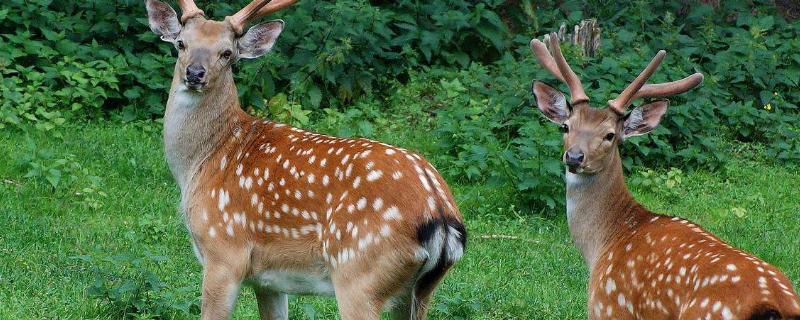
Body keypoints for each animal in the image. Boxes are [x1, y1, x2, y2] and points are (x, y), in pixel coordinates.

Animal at [145, 1, 468, 318]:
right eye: (181, 44)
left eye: (227, 53)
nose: (194, 73)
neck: (202, 161)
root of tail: (441, 214)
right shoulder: (267, 280)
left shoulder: (223, 251)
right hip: (417, 291)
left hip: (359, 275)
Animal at [532, 33, 800, 320]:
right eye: (565, 126)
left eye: (609, 135)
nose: (574, 157)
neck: (603, 243)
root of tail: (775, 303)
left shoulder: (609, 308)